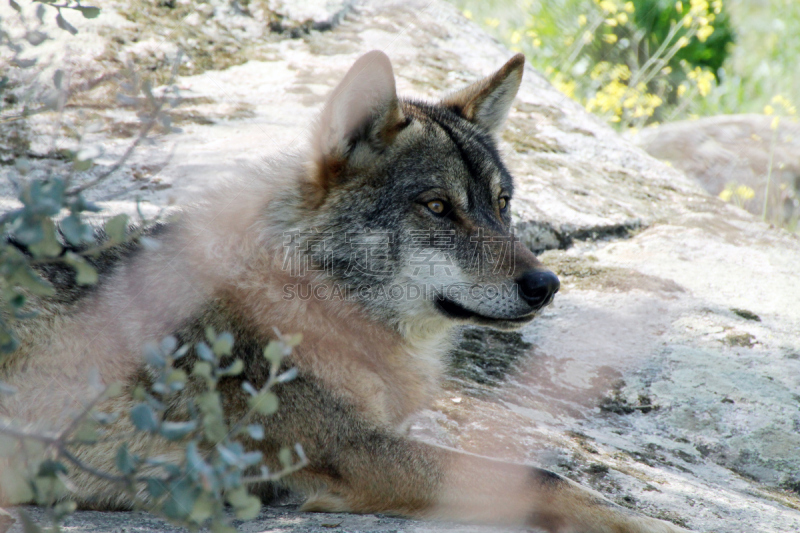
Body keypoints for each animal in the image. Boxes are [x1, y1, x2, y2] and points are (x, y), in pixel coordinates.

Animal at [0, 51, 688, 532]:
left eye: (501, 204)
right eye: (438, 207)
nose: (547, 285)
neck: (316, 300)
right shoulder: (357, 453)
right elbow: (547, 478)